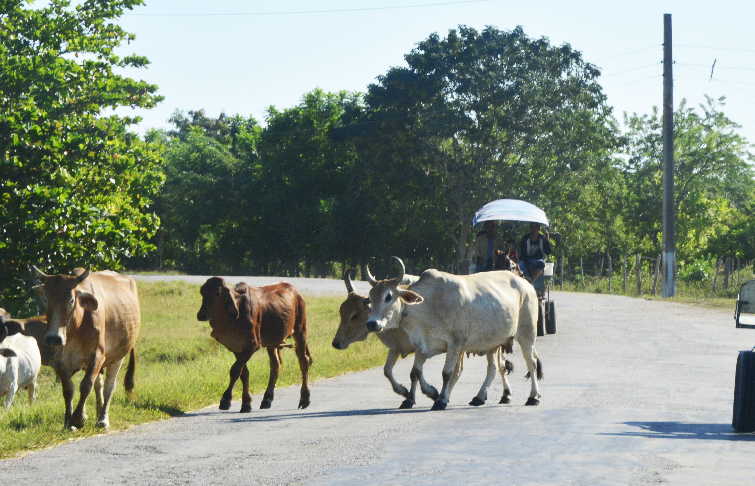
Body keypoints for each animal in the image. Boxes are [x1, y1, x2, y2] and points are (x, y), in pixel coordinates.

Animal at [31, 268, 141, 430]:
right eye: (46, 299)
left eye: (71, 300)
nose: (53, 338)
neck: (76, 329)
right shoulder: (61, 361)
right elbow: (68, 390)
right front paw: (68, 421)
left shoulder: (97, 356)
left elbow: (86, 385)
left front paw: (77, 419)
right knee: (99, 385)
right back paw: (97, 412)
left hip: (118, 357)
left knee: (109, 387)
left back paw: (103, 418)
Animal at [198, 278, 314, 410]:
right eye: (202, 292)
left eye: (218, 293)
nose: (201, 315)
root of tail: (295, 291)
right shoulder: (236, 348)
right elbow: (244, 373)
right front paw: (246, 403)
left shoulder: (252, 345)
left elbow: (235, 370)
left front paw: (225, 400)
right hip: (272, 342)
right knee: (275, 365)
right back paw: (267, 399)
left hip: (300, 331)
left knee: (303, 362)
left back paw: (304, 399)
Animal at [366, 258, 544, 410]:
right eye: (370, 297)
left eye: (388, 296)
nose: (371, 323)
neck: (428, 305)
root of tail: (525, 283)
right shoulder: (422, 346)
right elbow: (415, 372)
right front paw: (426, 394)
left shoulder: (455, 344)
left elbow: (447, 373)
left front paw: (440, 400)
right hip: (492, 343)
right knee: (494, 368)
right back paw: (479, 397)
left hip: (527, 334)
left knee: (532, 363)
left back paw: (533, 397)